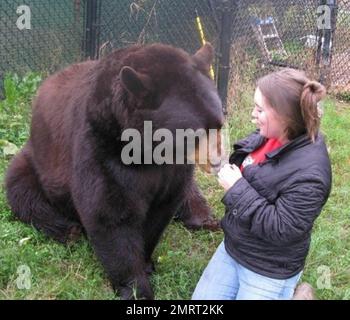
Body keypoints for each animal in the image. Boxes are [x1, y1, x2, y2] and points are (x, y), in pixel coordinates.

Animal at [4, 42, 224, 298]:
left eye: (220, 124)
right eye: (195, 134)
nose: (218, 161)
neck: (148, 151)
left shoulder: (173, 168)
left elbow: (162, 207)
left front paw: (146, 263)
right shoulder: (101, 145)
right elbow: (110, 215)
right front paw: (136, 288)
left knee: (191, 194)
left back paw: (206, 220)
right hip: (34, 163)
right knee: (25, 195)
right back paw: (68, 230)